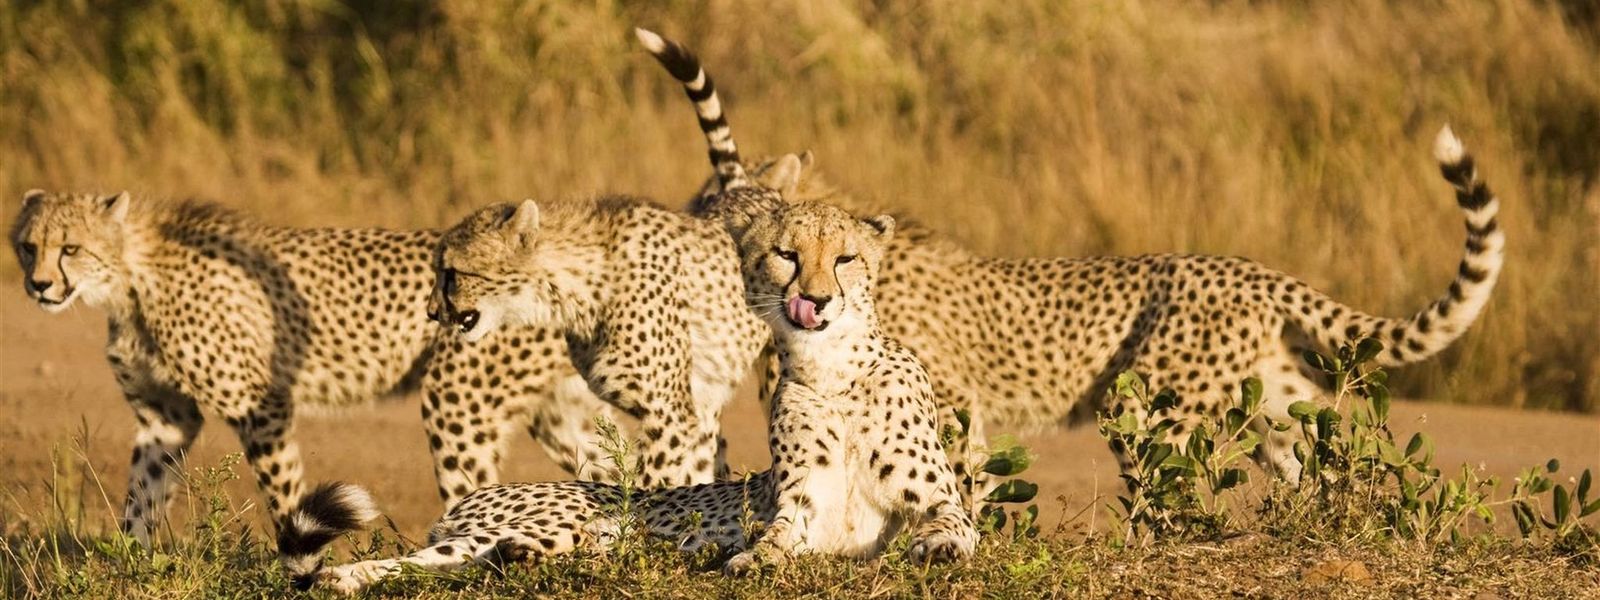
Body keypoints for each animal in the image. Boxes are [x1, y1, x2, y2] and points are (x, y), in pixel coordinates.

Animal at [278, 198, 976, 593]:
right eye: (786, 254)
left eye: (847, 258)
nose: (817, 299)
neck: (835, 372)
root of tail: (478, 498)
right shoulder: (798, 512)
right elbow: (774, 540)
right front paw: (753, 560)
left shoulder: (939, 501)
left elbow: (952, 523)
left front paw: (937, 547)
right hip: (540, 522)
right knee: (415, 563)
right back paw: (342, 577)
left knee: (472, 564)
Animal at [636, 28, 1505, 482]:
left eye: (724, 214)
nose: (689, 236)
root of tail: (1247, 267)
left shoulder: (951, 402)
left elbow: (951, 477)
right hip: (1270, 398)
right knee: (1315, 456)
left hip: (1154, 402)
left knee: (1167, 484)